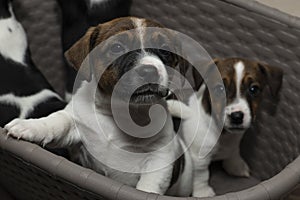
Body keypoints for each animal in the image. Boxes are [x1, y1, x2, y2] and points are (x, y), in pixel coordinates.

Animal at [4, 16, 192, 195]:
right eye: (116, 47)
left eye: (164, 50)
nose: (148, 71)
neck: (119, 112)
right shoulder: (75, 126)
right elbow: (56, 122)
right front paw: (31, 126)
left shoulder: (159, 159)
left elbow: (149, 186)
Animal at [169, 57, 284, 197]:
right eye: (220, 89)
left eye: (254, 89)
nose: (237, 116)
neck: (222, 134)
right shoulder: (199, 157)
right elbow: (201, 175)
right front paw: (203, 192)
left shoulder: (233, 144)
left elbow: (234, 152)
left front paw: (235, 166)